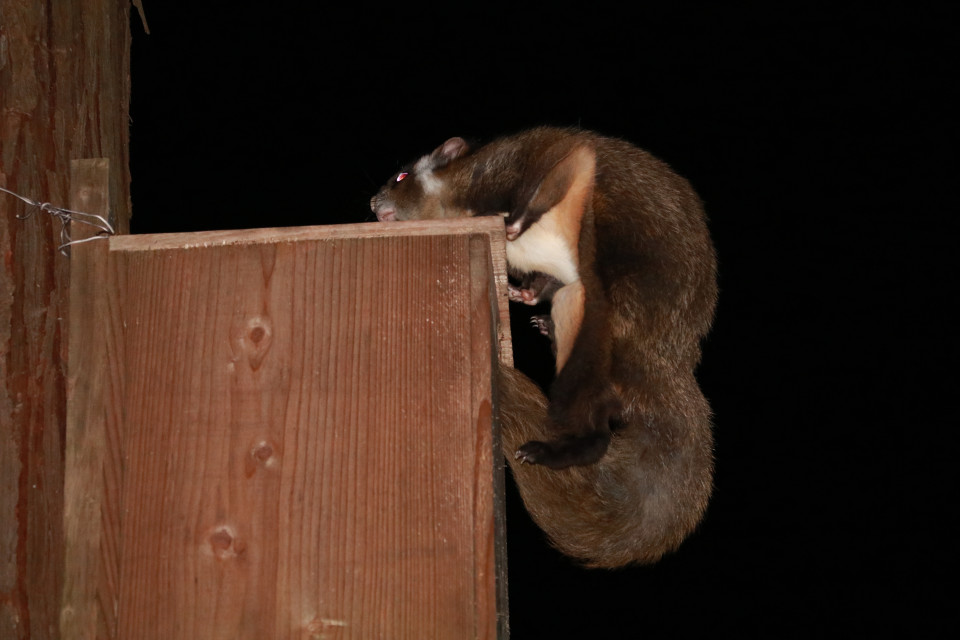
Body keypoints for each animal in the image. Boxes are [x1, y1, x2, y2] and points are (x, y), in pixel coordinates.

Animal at [372, 127, 716, 568]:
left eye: (401, 176)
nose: (371, 203)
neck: (457, 199)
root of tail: (671, 361)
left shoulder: (517, 161)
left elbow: (546, 172)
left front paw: (515, 222)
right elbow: (541, 282)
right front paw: (523, 293)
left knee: (596, 431)